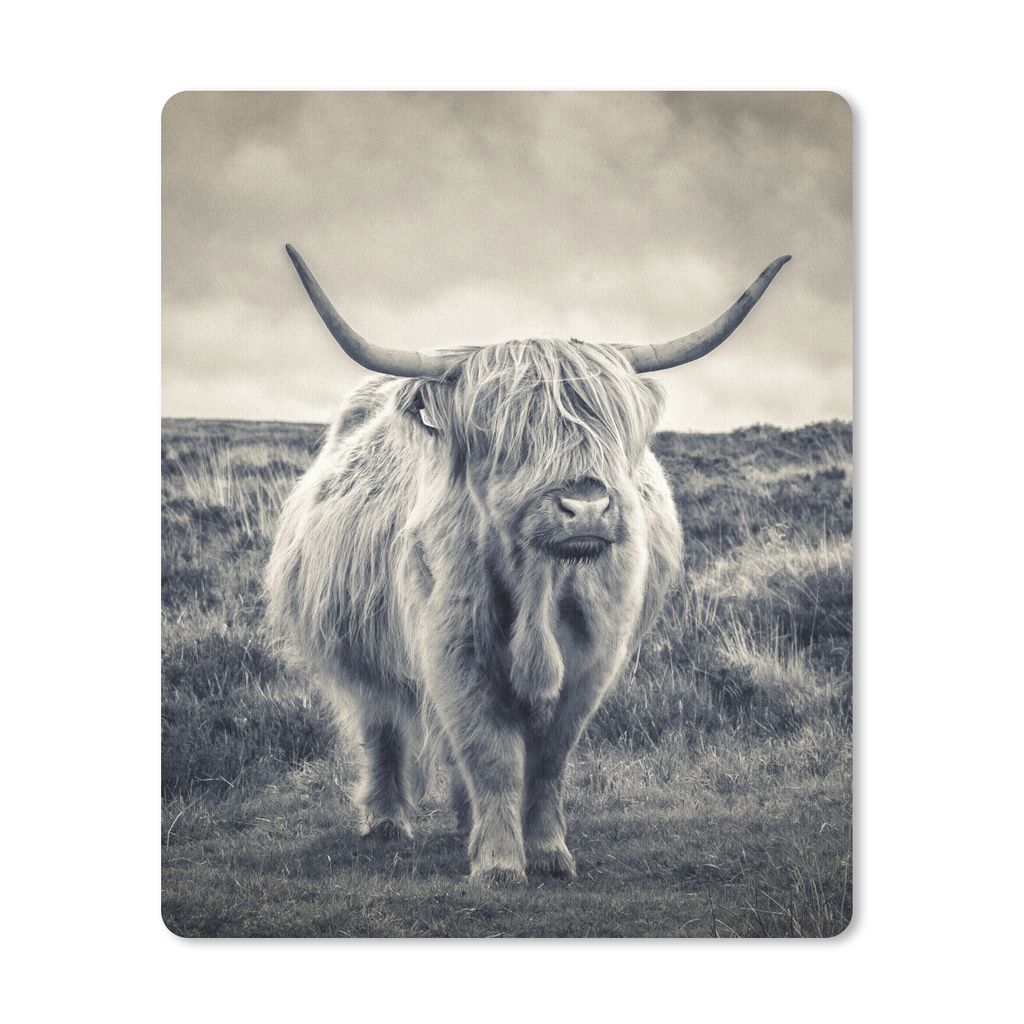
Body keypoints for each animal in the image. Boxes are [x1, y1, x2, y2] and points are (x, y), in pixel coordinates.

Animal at [266, 245, 789, 885]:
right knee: (382, 725)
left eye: (611, 426)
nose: (585, 505)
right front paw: (497, 863)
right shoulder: (454, 651)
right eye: (507, 434)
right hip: (358, 651)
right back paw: (387, 822)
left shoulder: (592, 659)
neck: (540, 584)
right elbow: (489, 753)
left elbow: (547, 759)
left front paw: (546, 852)